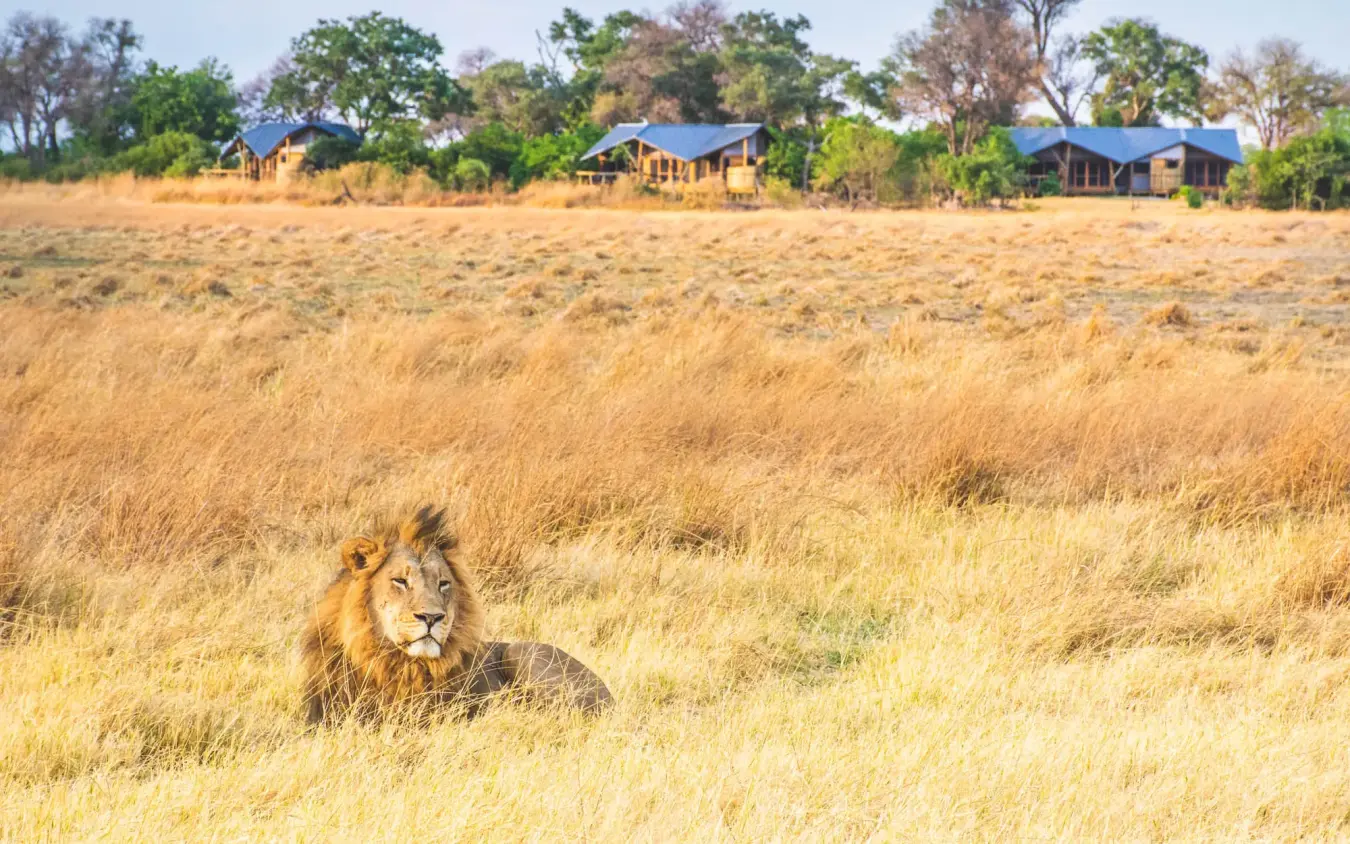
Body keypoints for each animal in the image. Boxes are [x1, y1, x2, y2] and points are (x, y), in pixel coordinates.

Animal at [301, 505, 613, 723]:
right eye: (400, 581)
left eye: (443, 583)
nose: (431, 618)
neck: (396, 663)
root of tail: (611, 696)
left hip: (521, 652)